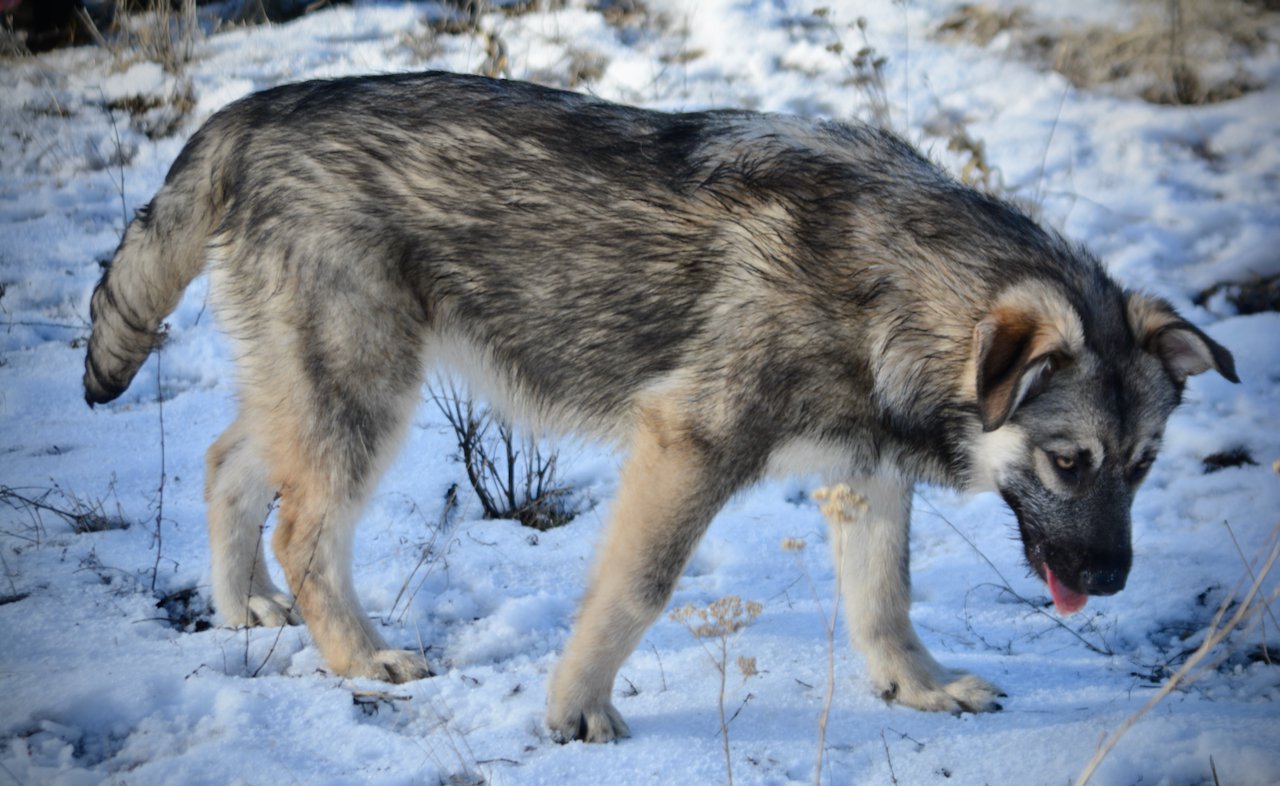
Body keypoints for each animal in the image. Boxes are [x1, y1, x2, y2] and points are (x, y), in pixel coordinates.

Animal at [82, 70, 1239, 742]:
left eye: (1141, 466)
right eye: (1067, 461)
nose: (1113, 579)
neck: (891, 290)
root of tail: (252, 109)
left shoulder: (862, 476)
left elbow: (885, 601)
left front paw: (917, 688)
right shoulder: (690, 448)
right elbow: (633, 592)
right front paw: (574, 709)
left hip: (313, 388)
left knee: (228, 466)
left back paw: (242, 606)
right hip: (363, 394)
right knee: (304, 527)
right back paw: (361, 658)